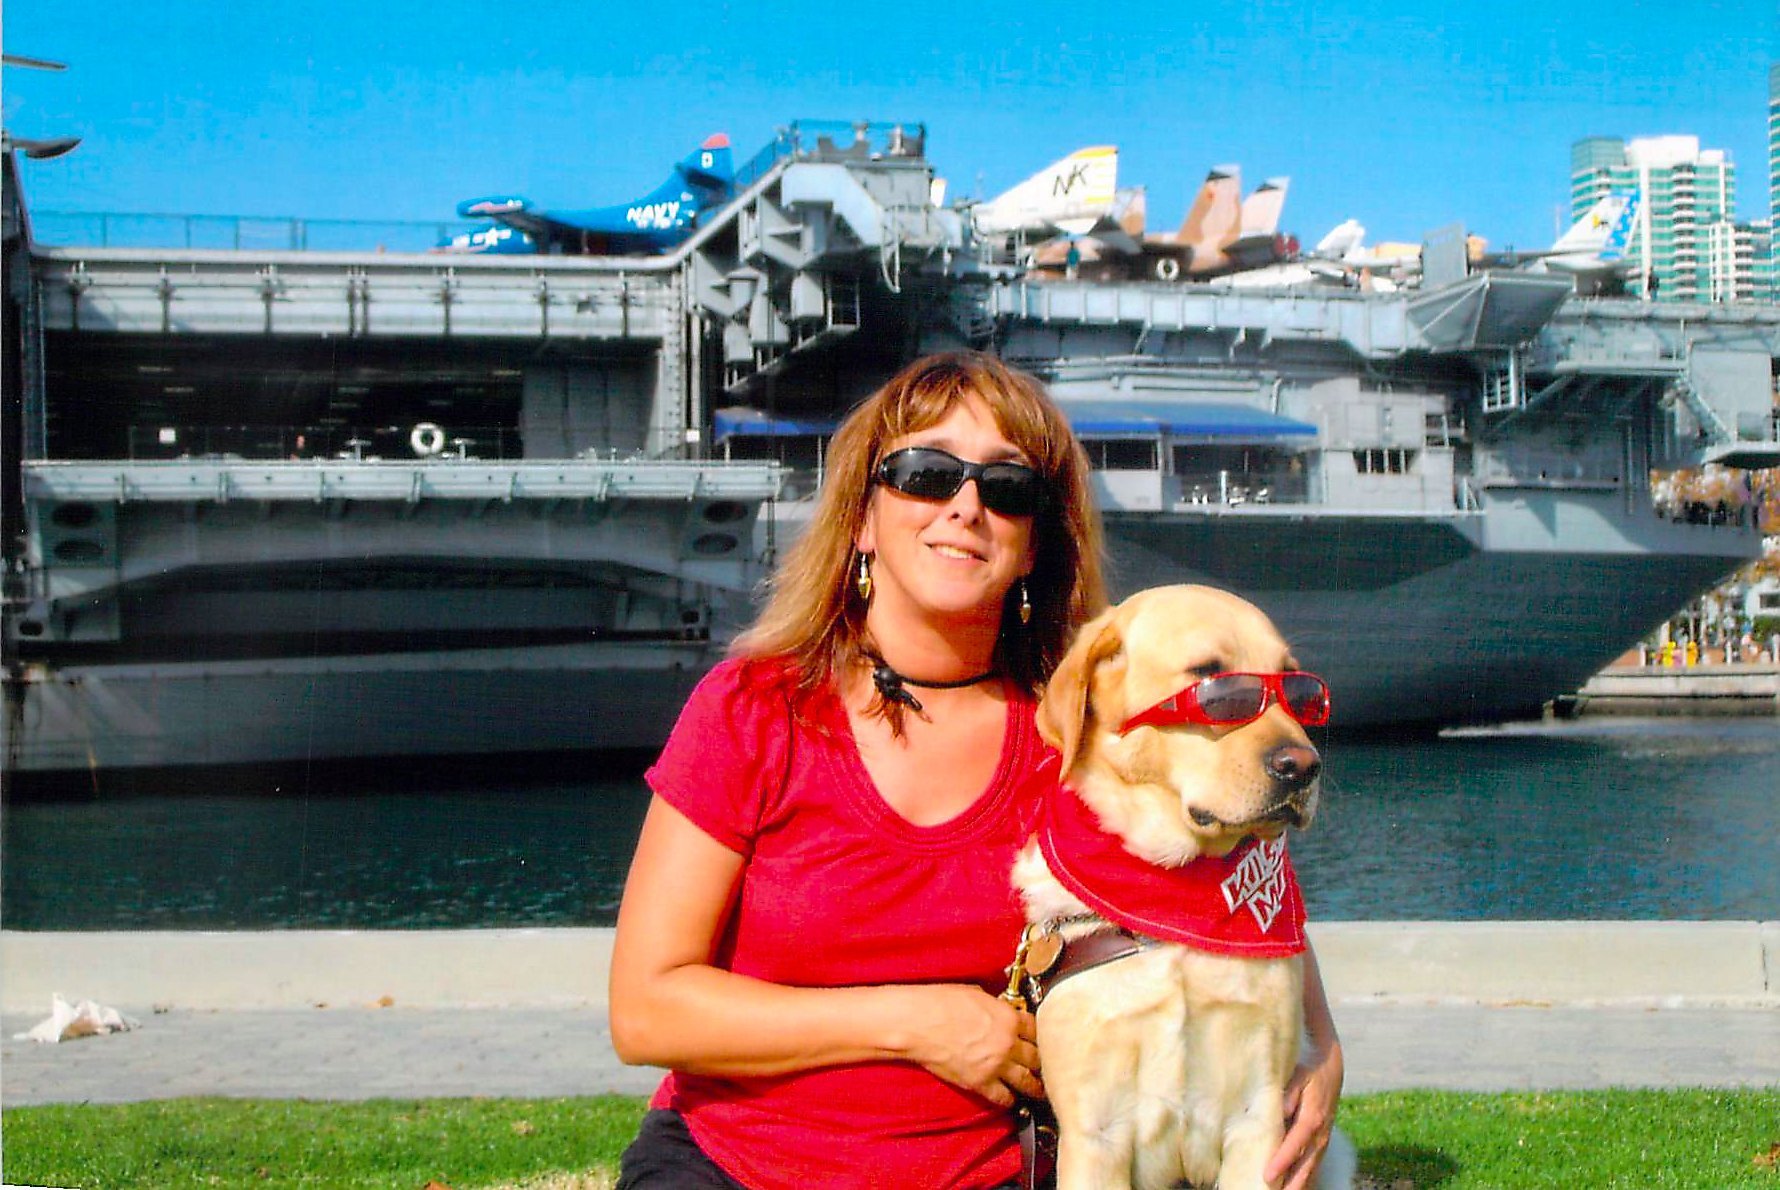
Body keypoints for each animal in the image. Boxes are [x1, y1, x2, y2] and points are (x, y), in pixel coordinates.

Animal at [1011, 584, 1348, 1190]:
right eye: (1213, 682)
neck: (1176, 901)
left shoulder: (1259, 1117)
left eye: (1300, 691)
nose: (1303, 766)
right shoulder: (1094, 1133)